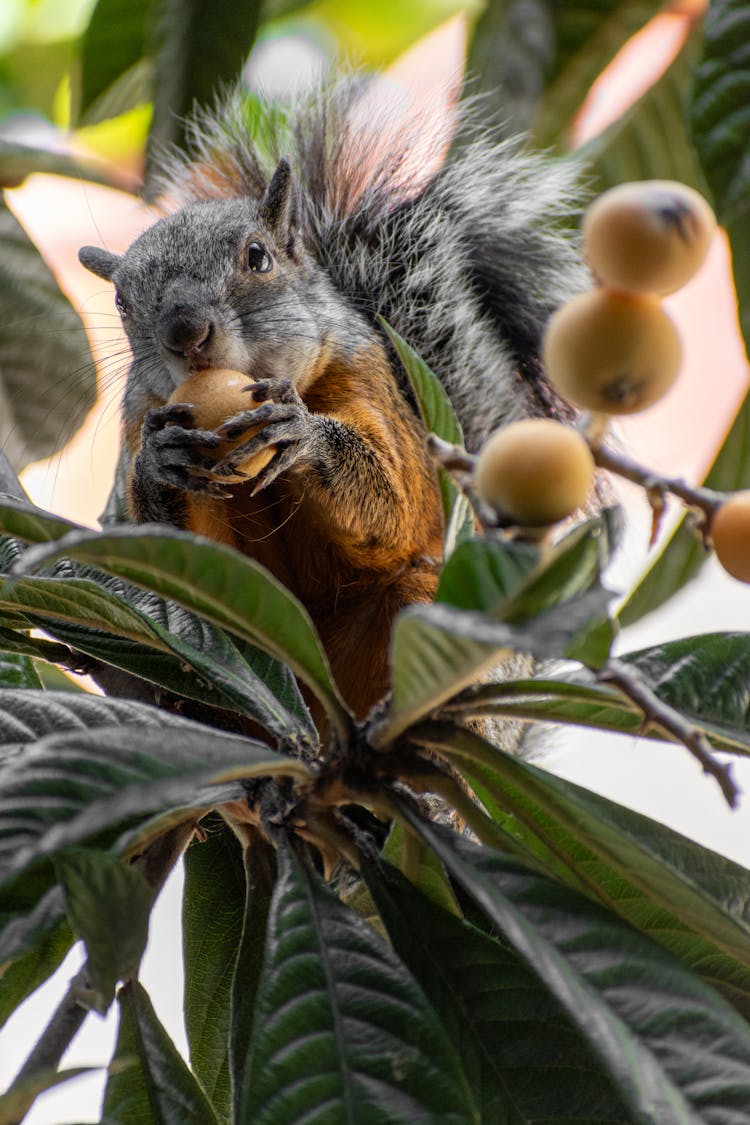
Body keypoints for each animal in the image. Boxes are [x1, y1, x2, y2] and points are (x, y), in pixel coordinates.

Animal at [79, 81, 584, 729]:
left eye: (258, 257)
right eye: (121, 302)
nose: (185, 333)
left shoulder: (369, 383)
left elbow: (398, 502)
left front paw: (302, 434)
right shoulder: (139, 417)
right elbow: (190, 553)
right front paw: (161, 462)